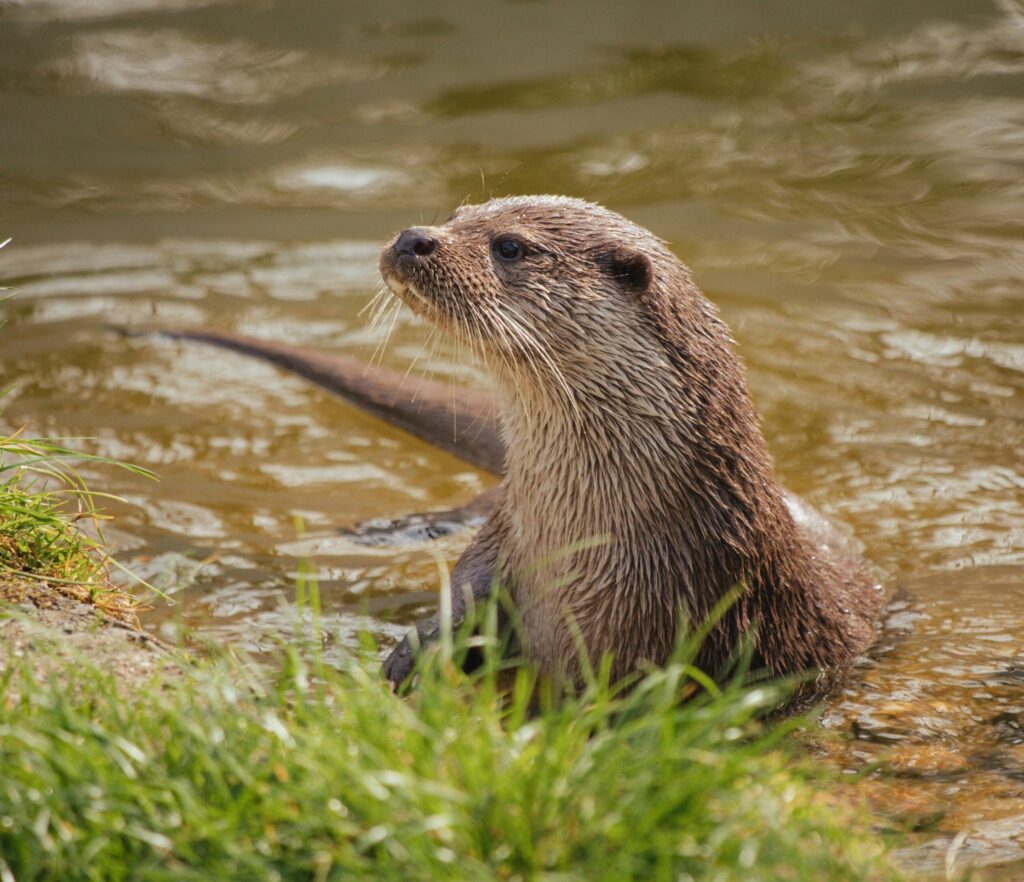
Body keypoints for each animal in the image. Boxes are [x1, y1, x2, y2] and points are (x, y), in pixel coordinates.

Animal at [145, 196, 884, 690]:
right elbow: (458, 599)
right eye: (459, 212)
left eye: (508, 246)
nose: (415, 237)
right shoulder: (504, 537)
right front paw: (402, 662)